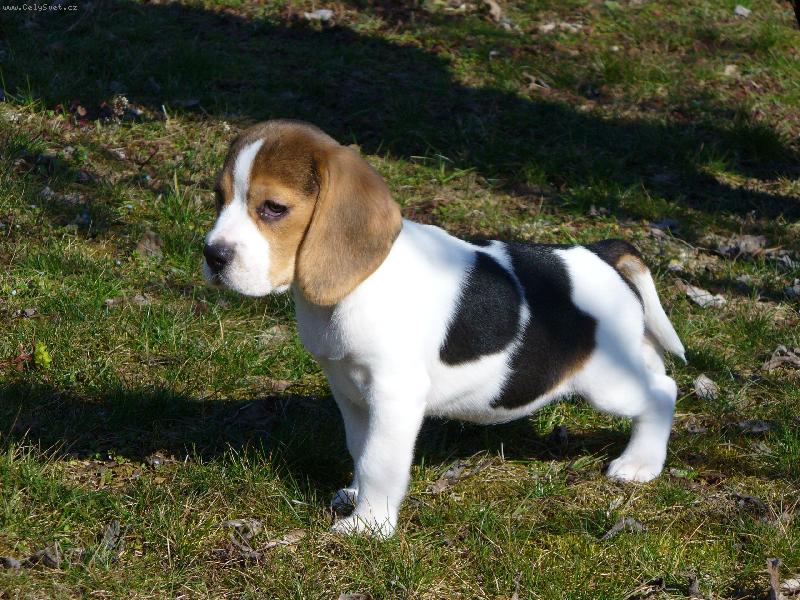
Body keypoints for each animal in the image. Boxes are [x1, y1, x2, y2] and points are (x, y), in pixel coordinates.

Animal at [203, 120, 685, 538]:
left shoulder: (394, 394)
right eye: (218, 198)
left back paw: (639, 465)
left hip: (608, 381)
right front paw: (356, 496)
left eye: (274, 209)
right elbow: (360, 447)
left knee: (662, 392)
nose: (212, 255)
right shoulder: (349, 391)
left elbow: (379, 460)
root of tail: (600, 251)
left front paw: (369, 526)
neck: (359, 283)